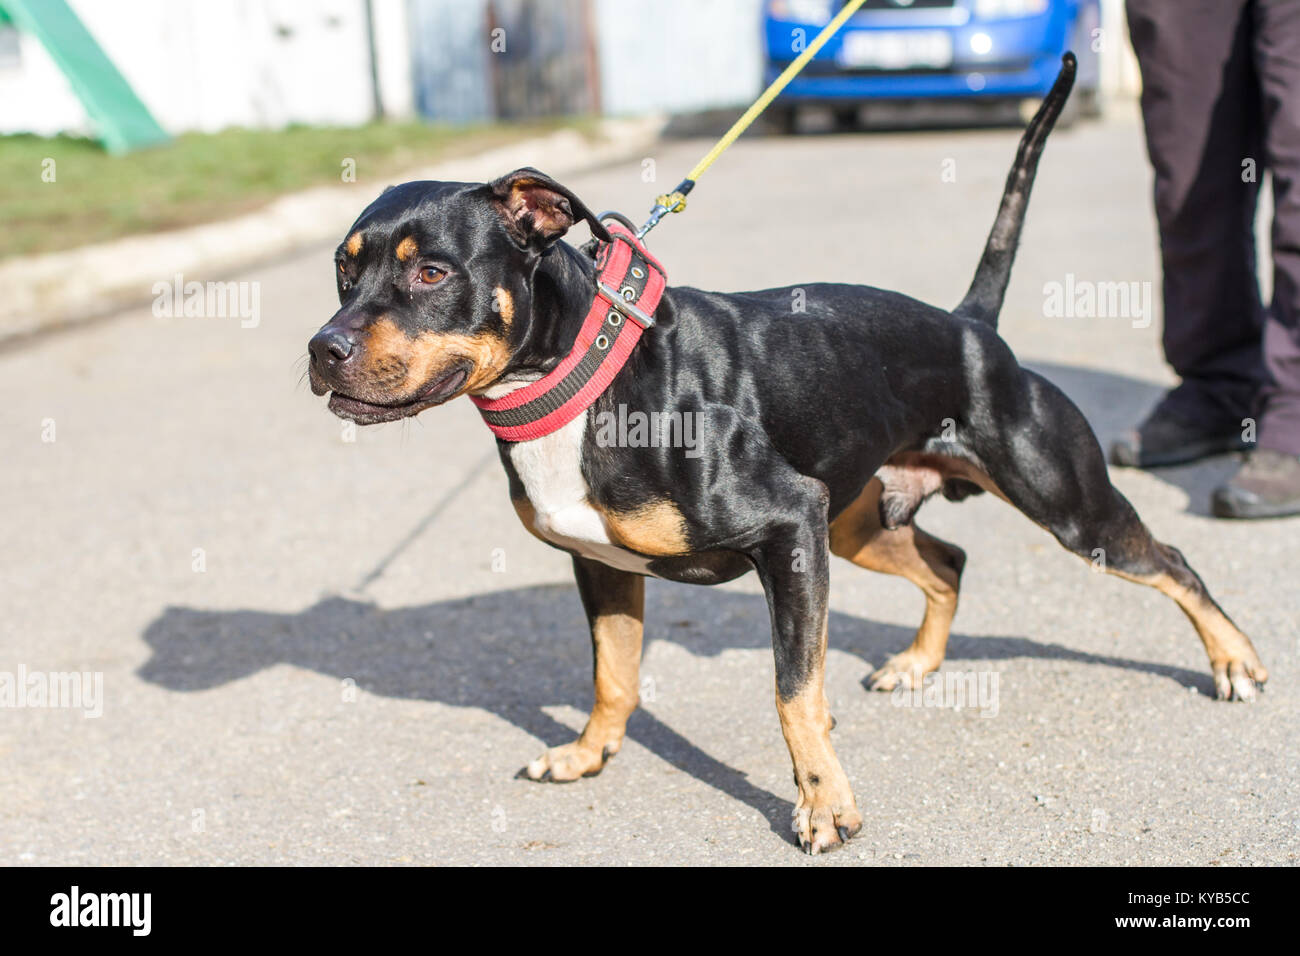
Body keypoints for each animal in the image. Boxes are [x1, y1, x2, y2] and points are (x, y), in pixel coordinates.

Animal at [306, 57, 1268, 853]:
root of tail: (969, 326)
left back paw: (1234, 661)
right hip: (857, 525)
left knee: (1172, 560)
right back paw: (919, 663)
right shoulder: (607, 565)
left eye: (431, 272)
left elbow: (793, 691)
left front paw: (824, 805)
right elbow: (613, 674)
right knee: (949, 560)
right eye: (343, 272)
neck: (587, 375)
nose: (323, 349)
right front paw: (588, 753)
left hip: (1061, 505)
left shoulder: (788, 531)